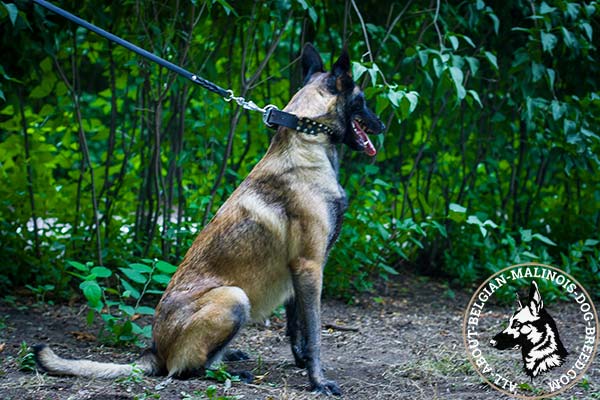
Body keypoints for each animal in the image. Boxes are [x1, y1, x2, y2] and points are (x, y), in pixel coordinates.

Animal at [34, 42, 384, 396]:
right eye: (363, 101)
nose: (383, 125)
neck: (308, 138)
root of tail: (154, 351)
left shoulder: (299, 272)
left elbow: (295, 326)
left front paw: (301, 364)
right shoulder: (309, 266)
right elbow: (313, 334)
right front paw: (318, 381)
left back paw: (231, 357)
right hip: (234, 298)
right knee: (186, 369)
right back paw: (230, 372)